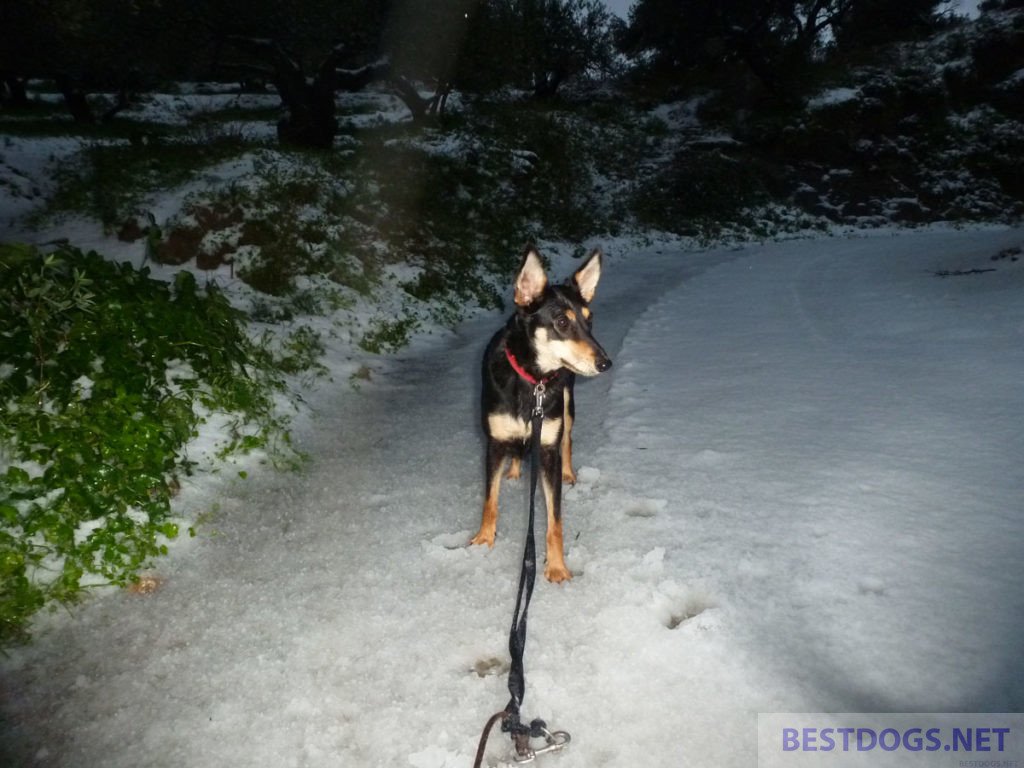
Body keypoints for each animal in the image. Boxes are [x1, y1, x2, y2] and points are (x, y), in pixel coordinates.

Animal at [468, 247, 606, 581]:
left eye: (590, 321)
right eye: (562, 321)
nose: (605, 363)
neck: (532, 380)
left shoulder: (547, 448)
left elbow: (555, 520)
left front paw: (556, 566)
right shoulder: (494, 442)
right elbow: (490, 500)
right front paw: (484, 539)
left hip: (567, 408)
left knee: (567, 440)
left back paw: (568, 473)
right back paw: (515, 469)